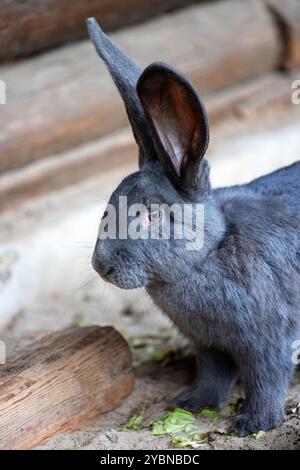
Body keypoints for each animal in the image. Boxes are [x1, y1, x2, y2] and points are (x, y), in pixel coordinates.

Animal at [86, 18, 300, 436]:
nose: (101, 267)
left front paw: (253, 424)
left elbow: (267, 379)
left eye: (151, 215)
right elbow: (212, 374)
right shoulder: (209, 345)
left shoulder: (269, 339)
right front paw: (192, 403)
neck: (211, 251)